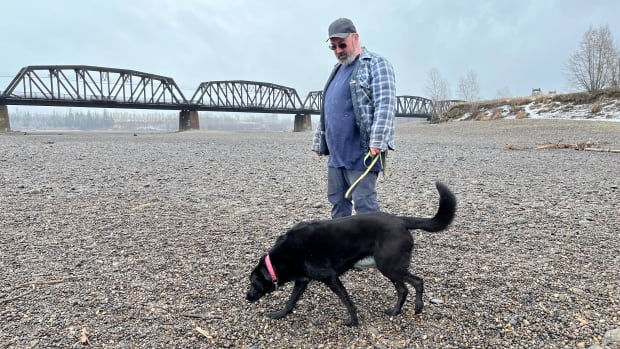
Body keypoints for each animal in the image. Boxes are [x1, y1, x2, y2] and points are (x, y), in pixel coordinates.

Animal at [246, 181, 456, 324]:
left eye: (253, 283)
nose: (247, 297)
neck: (281, 258)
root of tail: (401, 221)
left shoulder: (331, 278)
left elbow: (346, 300)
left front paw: (353, 321)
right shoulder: (302, 281)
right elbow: (291, 300)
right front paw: (281, 314)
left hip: (390, 266)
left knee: (417, 282)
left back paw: (418, 307)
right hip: (390, 268)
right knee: (403, 289)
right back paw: (395, 311)